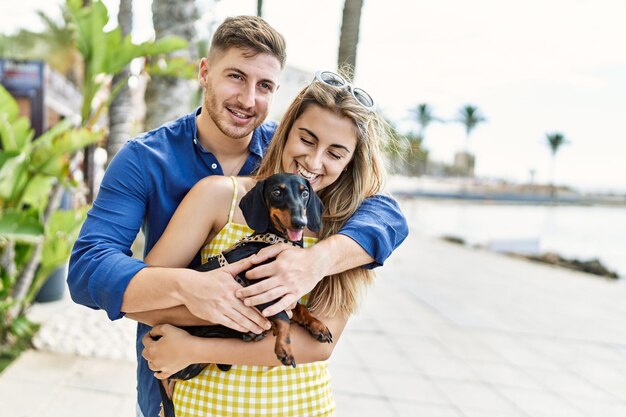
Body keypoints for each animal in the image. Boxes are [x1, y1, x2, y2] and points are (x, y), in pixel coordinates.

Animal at [156, 172, 332, 416]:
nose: (300, 222)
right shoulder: (257, 286)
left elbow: (300, 308)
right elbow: (284, 318)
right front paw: (284, 348)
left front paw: (318, 326)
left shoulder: (284, 290)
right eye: (277, 192)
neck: (275, 241)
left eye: (304, 192)